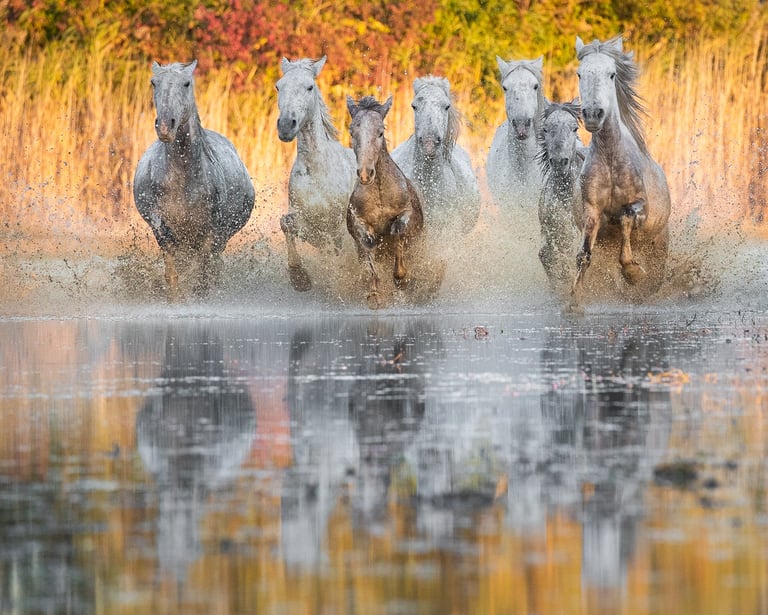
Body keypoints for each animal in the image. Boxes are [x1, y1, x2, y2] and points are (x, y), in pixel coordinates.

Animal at [133, 60, 255, 300]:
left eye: (186, 83)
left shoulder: (210, 234)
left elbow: (203, 276)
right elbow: (173, 275)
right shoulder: (163, 230)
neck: (181, 181)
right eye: (154, 82)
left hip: (221, 238)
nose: (165, 126)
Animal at [276, 56, 356, 292]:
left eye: (309, 87)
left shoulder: (339, 228)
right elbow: (286, 223)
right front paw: (299, 278)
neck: (319, 172)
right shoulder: (310, 226)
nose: (286, 125)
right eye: (278, 86)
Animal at [346, 95, 425, 309]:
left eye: (380, 132)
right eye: (352, 132)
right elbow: (369, 245)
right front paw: (374, 294)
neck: (380, 192)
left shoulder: (405, 213)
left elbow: (397, 231)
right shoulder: (360, 223)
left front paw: (400, 278)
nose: (365, 173)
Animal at [571, 36, 671, 304]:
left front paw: (634, 274)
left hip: (658, 243)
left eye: (612, 74)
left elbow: (626, 217)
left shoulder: (640, 206)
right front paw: (573, 300)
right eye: (580, 74)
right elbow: (584, 254)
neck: (610, 160)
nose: (593, 115)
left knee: (657, 273)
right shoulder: (592, 211)